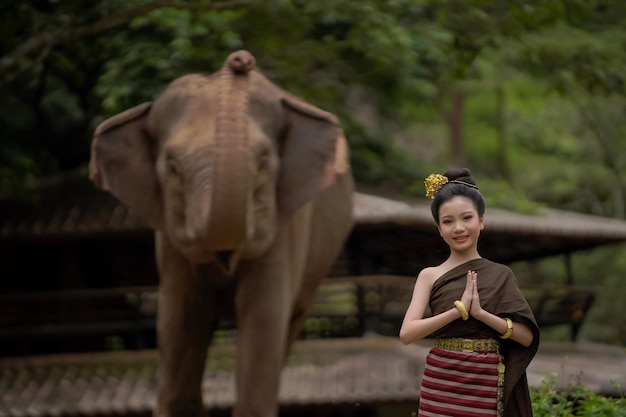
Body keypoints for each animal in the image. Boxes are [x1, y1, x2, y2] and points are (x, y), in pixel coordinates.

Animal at [88, 51, 354, 416]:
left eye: (263, 161)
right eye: (172, 166)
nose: (241, 59)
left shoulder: (288, 226)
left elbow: (264, 319)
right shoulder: (170, 243)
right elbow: (179, 321)